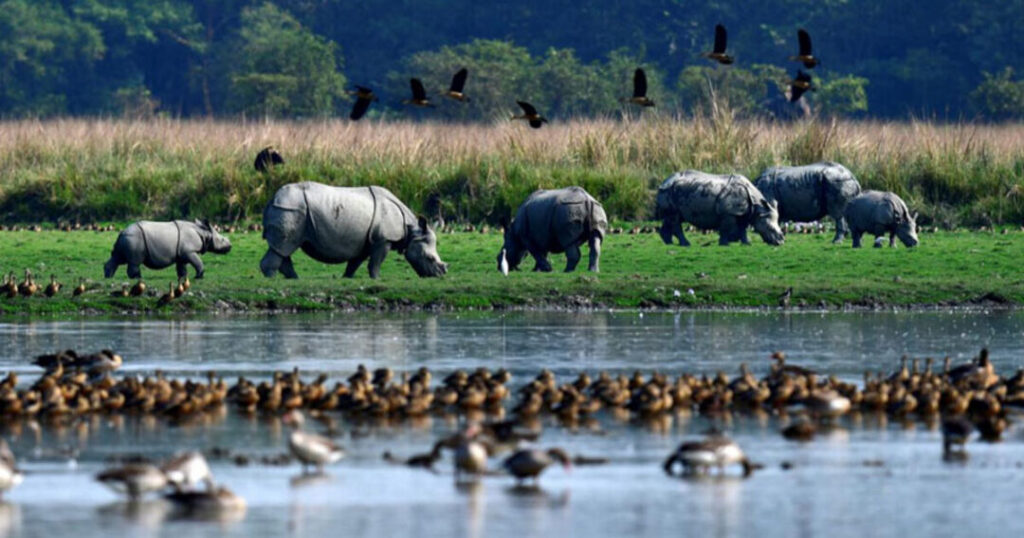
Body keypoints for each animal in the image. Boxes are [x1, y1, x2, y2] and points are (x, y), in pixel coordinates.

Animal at [103, 220, 232, 279]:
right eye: (222, 240)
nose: (230, 246)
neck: (204, 233)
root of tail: (122, 232)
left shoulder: (182, 253)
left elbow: (181, 266)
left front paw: (183, 278)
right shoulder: (189, 251)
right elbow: (198, 262)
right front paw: (199, 276)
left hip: (127, 238)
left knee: (118, 257)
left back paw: (108, 276)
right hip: (135, 239)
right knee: (134, 261)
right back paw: (138, 278)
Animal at [260, 182, 448, 279]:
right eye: (429, 258)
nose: (440, 274)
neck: (411, 230)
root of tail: (271, 200)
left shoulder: (366, 240)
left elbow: (355, 262)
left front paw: (347, 278)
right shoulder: (384, 239)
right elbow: (376, 262)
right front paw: (377, 279)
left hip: (290, 210)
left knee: (282, 248)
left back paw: (293, 279)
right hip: (290, 209)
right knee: (284, 247)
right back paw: (273, 279)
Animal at [656, 171, 785, 246]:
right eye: (769, 228)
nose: (780, 242)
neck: (757, 207)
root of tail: (663, 182)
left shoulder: (743, 212)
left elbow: (742, 228)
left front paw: (747, 243)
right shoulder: (728, 212)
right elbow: (725, 228)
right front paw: (724, 244)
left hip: (671, 192)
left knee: (671, 217)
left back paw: (668, 243)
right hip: (668, 191)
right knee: (675, 219)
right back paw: (686, 244)